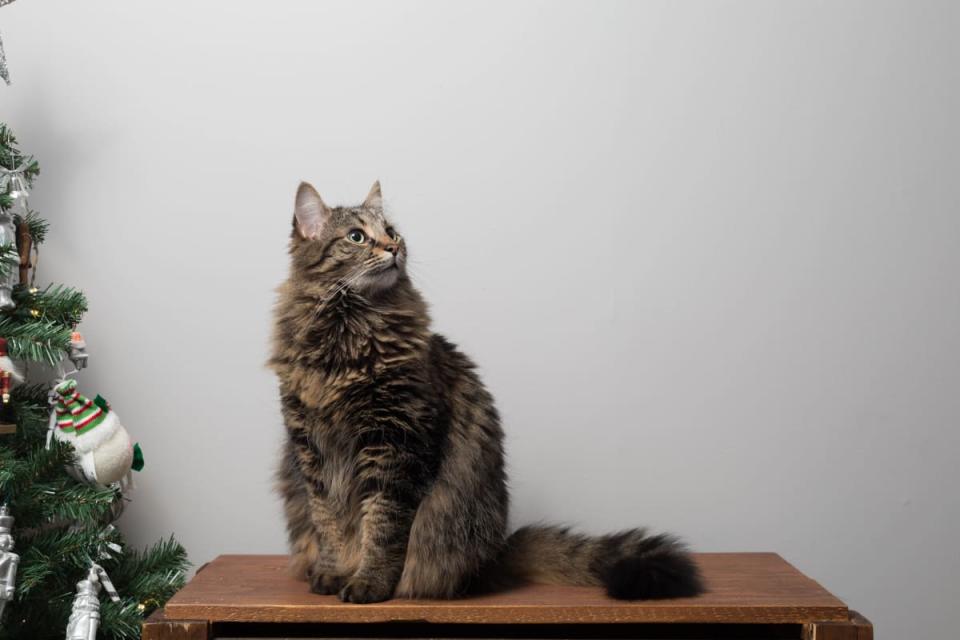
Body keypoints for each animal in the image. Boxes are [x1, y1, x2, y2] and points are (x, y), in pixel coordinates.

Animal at [266, 181, 700, 604]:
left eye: (391, 231)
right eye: (356, 237)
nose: (393, 248)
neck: (347, 335)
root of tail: (496, 553)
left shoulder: (395, 445)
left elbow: (382, 527)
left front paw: (369, 583)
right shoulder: (311, 454)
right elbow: (329, 524)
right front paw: (333, 572)